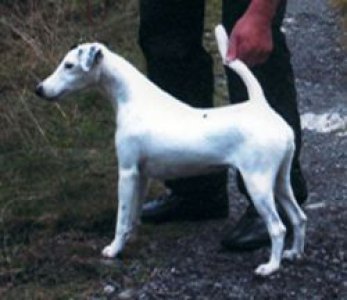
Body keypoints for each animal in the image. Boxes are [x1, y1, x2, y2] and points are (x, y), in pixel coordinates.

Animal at [36, 24, 308, 276]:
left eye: (69, 65)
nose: (39, 89)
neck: (132, 97)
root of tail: (263, 108)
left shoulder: (127, 172)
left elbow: (121, 217)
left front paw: (114, 249)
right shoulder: (141, 175)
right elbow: (132, 215)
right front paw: (130, 238)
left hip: (258, 183)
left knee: (278, 227)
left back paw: (271, 266)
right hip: (280, 181)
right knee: (298, 217)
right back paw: (294, 253)